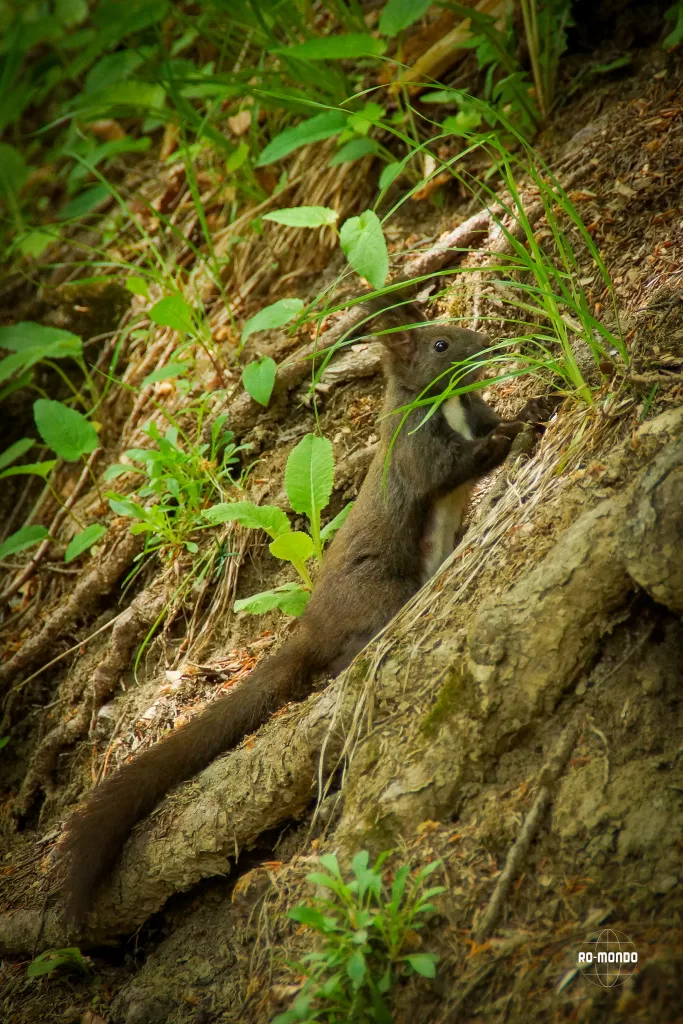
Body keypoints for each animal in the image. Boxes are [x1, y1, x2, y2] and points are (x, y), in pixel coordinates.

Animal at [57, 299, 548, 929]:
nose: (484, 342)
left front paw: (531, 407)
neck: (451, 406)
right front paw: (507, 437)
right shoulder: (416, 450)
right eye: (439, 344)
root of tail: (311, 626)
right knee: (345, 656)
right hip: (380, 594)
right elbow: (449, 470)